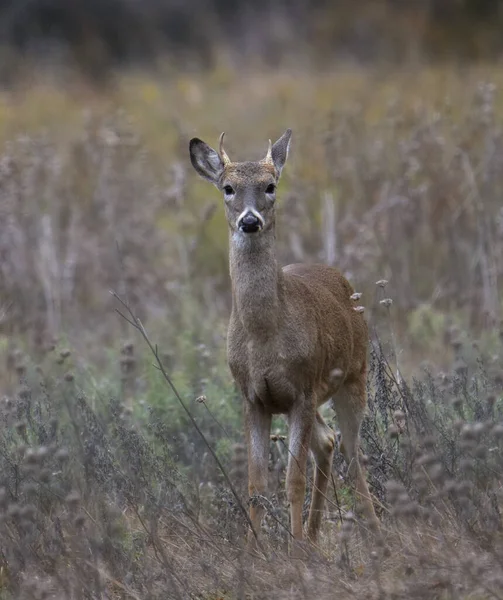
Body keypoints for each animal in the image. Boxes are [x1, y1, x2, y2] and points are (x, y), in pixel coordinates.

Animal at [191, 129, 380, 556]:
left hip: (354, 376)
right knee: (328, 442)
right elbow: (256, 482)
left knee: (353, 452)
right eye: (228, 188)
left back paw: (375, 533)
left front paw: (291, 552)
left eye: (270, 185)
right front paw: (254, 551)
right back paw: (312, 536)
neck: (265, 337)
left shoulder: (302, 391)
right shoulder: (252, 397)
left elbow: (293, 480)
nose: (249, 221)